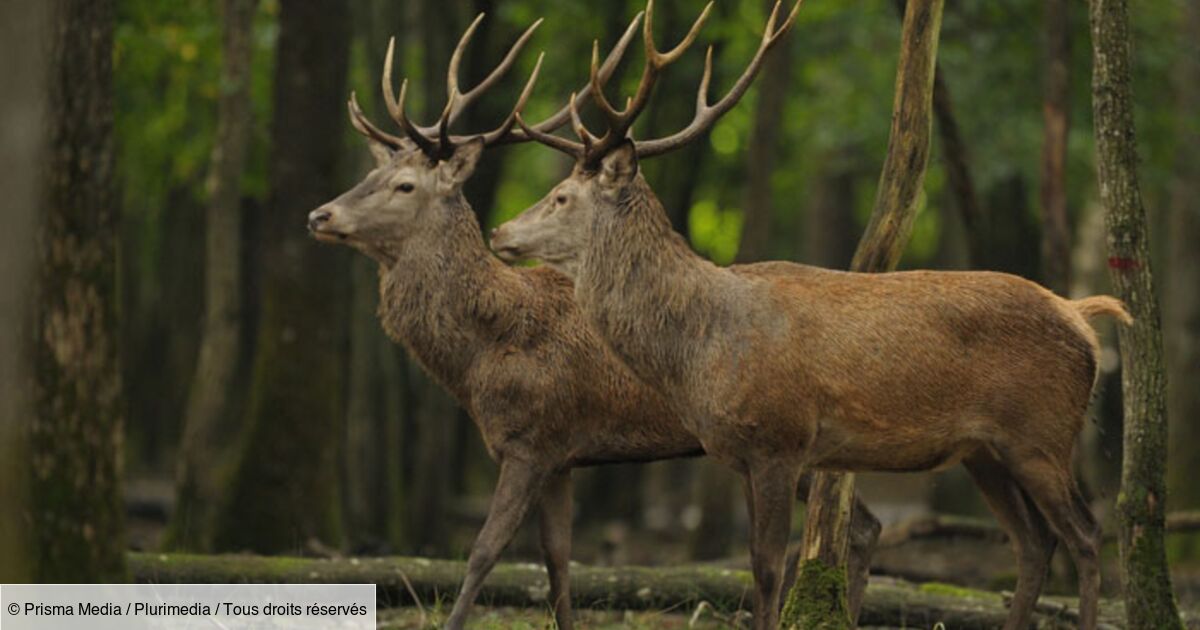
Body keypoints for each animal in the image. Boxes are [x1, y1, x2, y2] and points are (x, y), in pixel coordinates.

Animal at [304, 14, 878, 628]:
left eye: (405, 185)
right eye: (374, 173)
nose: (319, 214)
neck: (483, 356)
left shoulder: (530, 440)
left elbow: (483, 552)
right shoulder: (561, 454)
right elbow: (557, 561)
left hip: (785, 438)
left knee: (857, 525)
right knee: (863, 525)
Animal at [492, 2, 1128, 624]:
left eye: (561, 197)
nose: (498, 230)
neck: (699, 348)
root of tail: (1080, 314)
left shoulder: (781, 439)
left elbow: (769, 569)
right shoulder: (741, 455)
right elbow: (758, 567)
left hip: (1041, 433)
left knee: (1086, 535)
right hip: (986, 450)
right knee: (1034, 543)